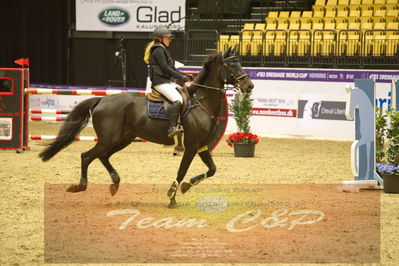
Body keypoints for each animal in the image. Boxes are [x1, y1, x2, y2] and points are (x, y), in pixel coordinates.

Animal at [39, 46, 255, 207]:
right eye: (232, 64)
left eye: (240, 62)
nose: (249, 86)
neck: (201, 102)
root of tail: (102, 100)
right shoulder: (192, 146)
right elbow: (182, 171)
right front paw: (172, 196)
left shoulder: (201, 146)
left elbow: (212, 170)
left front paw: (187, 186)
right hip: (109, 139)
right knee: (87, 156)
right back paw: (81, 185)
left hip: (122, 139)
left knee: (103, 156)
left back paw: (115, 183)